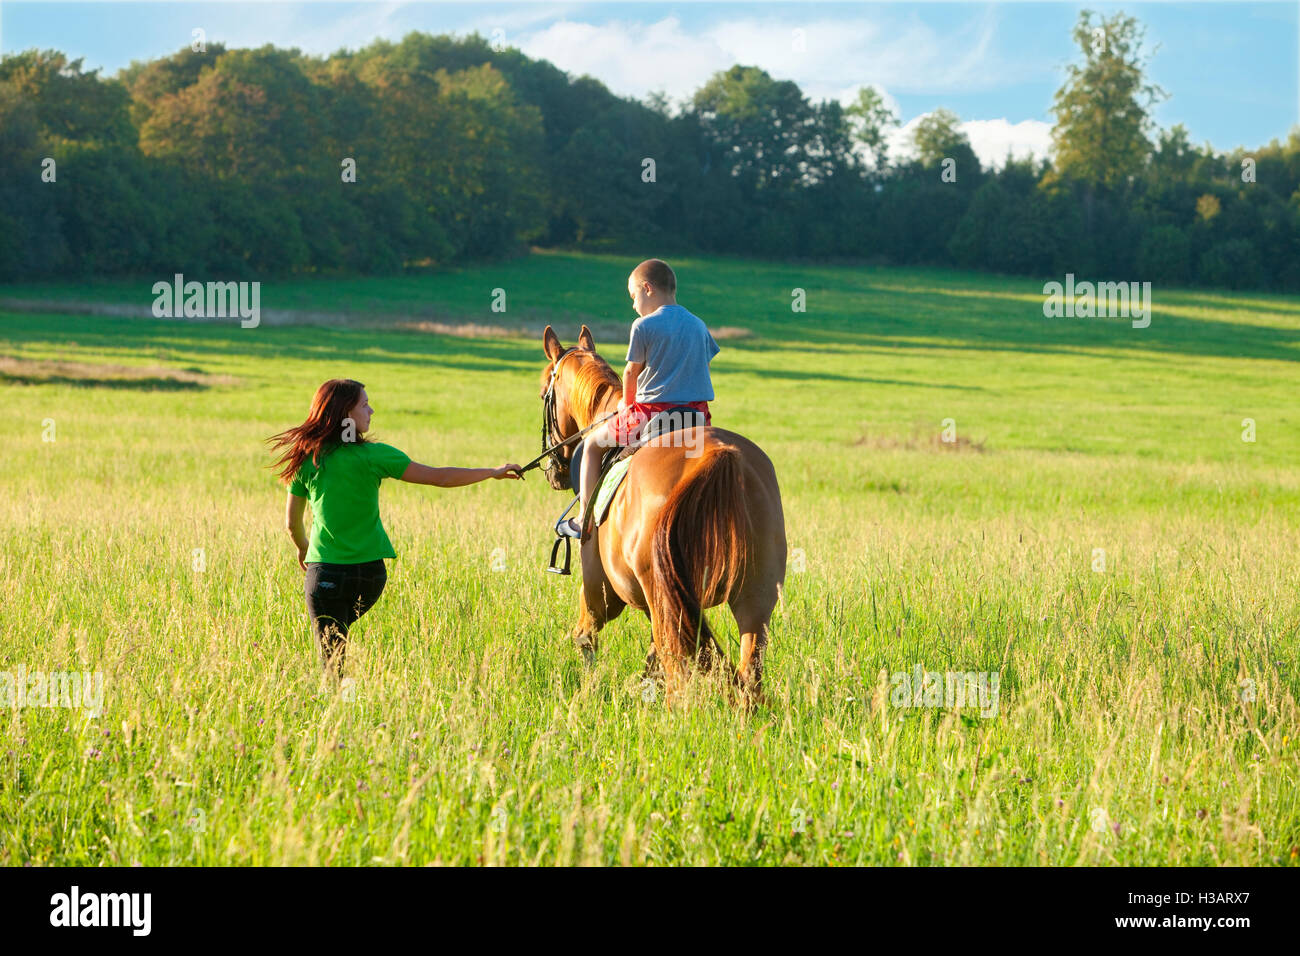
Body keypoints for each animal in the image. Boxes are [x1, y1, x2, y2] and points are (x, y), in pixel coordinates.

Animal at [535, 325, 780, 707]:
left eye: (544, 390)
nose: (553, 471)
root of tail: (721, 457)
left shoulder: (600, 589)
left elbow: (585, 637)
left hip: (666, 601)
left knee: (677, 669)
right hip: (755, 598)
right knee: (748, 674)